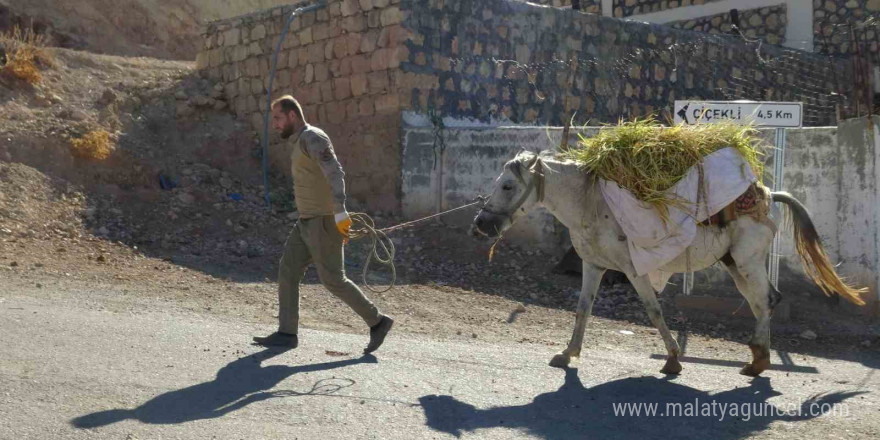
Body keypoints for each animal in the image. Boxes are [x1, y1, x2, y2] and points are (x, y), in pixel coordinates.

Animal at [474, 150, 868, 374]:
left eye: (507, 186)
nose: (481, 224)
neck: (592, 203)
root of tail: (769, 195)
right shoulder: (593, 266)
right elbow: (582, 309)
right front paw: (567, 353)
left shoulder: (634, 270)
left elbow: (653, 311)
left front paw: (674, 360)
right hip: (735, 265)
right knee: (763, 301)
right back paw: (757, 358)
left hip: (748, 262)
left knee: (766, 300)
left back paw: (757, 364)